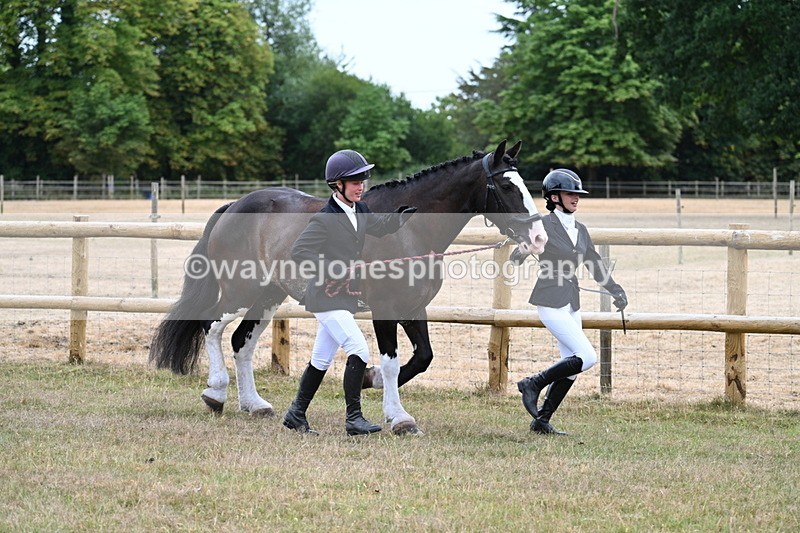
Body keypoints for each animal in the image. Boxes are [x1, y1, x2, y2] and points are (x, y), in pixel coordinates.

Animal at [149, 139, 547, 435]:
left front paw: (370, 381)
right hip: (239, 289)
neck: (410, 232)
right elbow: (392, 362)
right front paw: (398, 416)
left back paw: (254, 404)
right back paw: (215, 392)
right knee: (212, 327)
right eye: (508, 186)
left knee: (241, 342)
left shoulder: (413, 307)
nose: (539, 238)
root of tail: (235, 204)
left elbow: (423, 358)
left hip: (269, 294)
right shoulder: (386, 309)